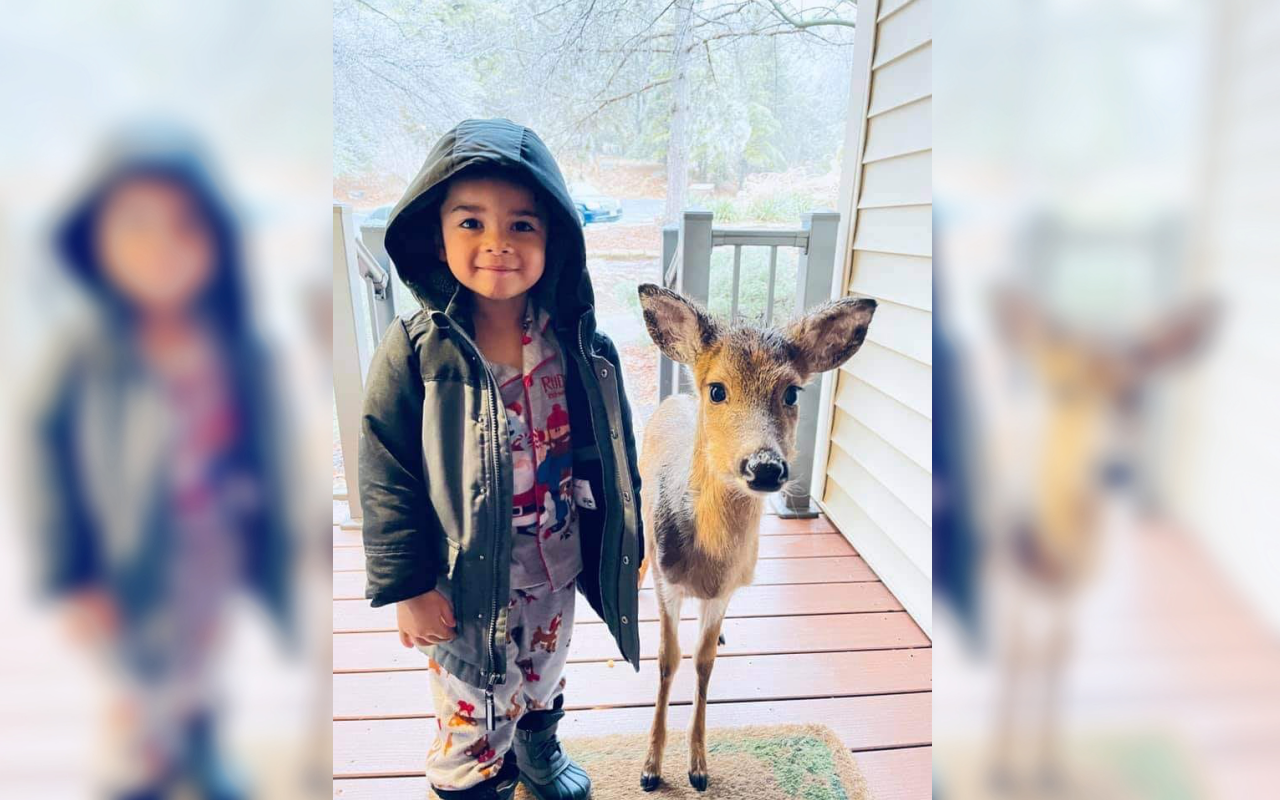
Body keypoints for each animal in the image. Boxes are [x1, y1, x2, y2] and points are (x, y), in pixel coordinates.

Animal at [633, 283, 877, 792]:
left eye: (792, 391)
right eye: (717, 389)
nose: (764, 466)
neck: (706, 562)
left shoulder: (725, 590)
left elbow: (704, 662)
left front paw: (699, 767)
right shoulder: (668, 580)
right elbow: (667, 660)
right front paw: (650, 768)